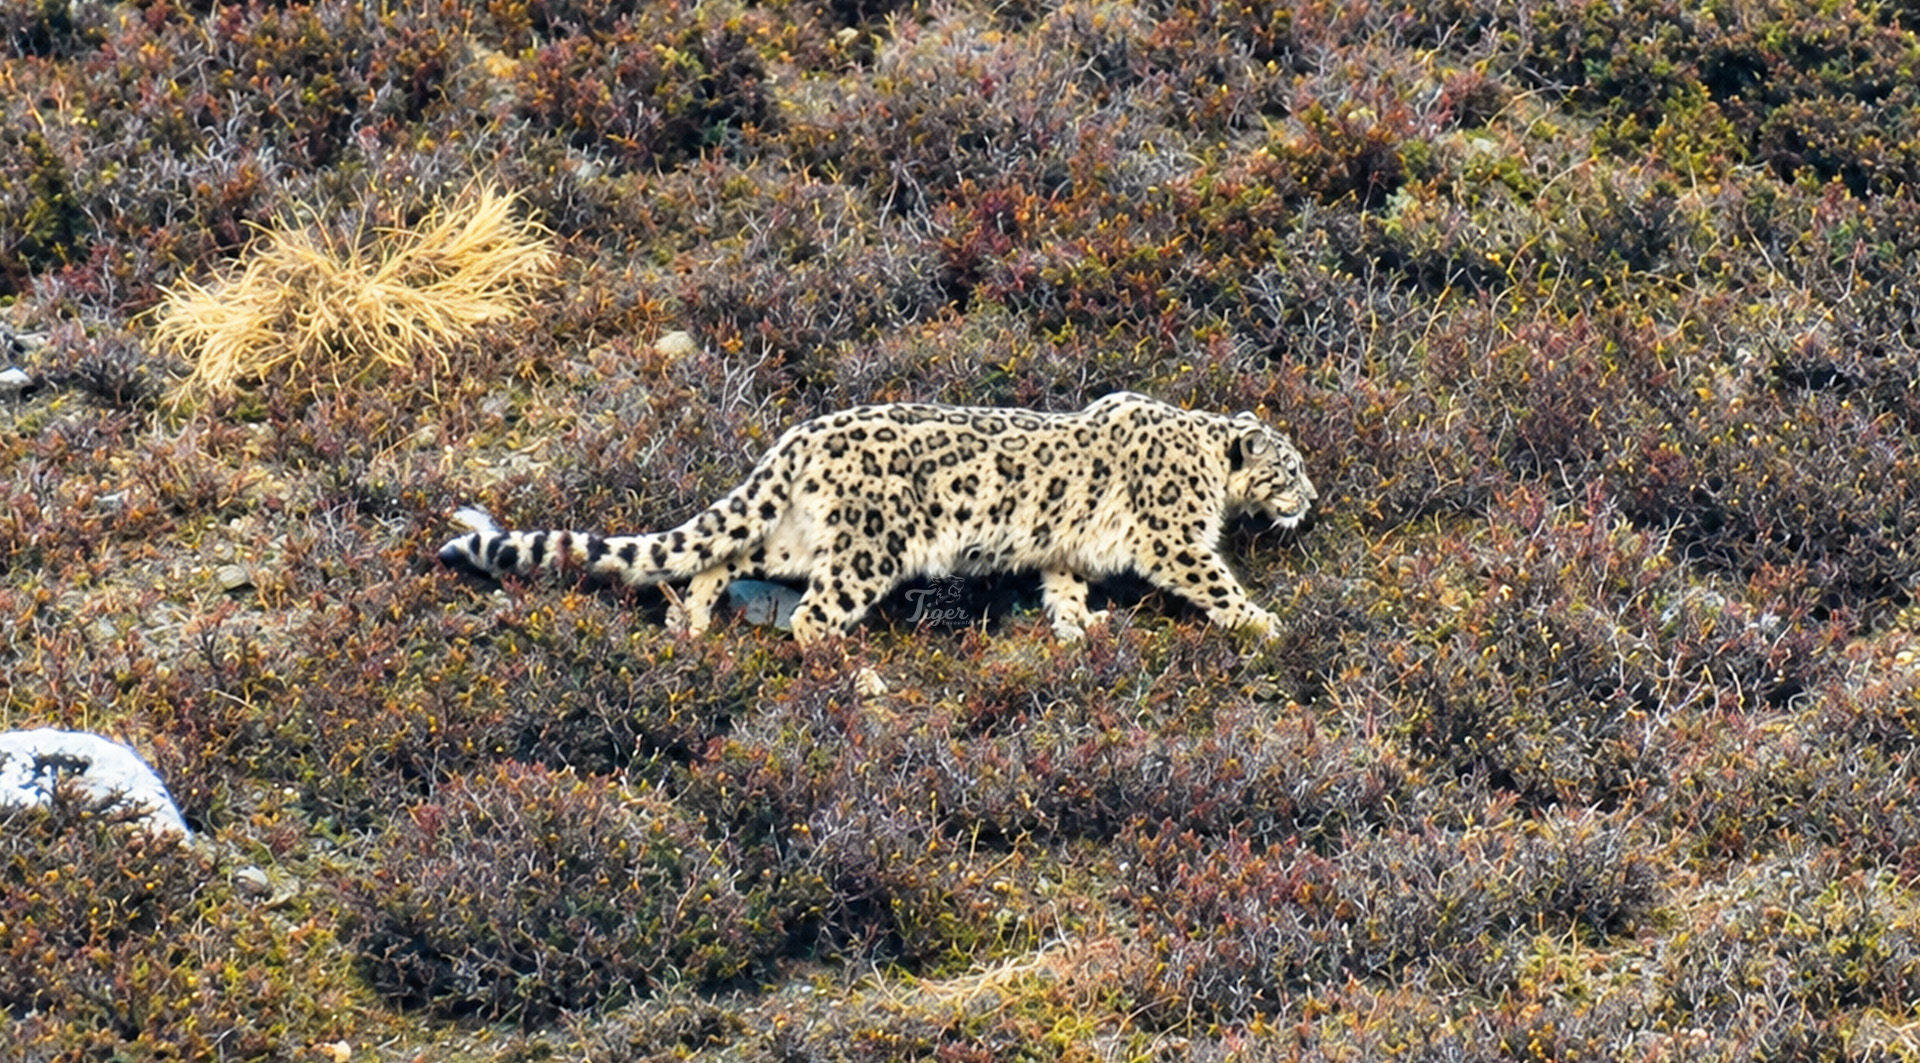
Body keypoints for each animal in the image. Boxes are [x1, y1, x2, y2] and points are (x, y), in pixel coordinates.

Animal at [438, 392, 1316, 644]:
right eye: (1291, 467)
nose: (1310, 501)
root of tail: (799, 436)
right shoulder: (1175, 537)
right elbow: (1213, 577)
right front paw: (1262, 622)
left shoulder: (1062, 549)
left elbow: (1062, 584)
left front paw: (1081, 627)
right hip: (868, 552)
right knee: (812, 619)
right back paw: (855, 676)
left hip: (798, 537)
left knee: (721, 554)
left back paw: (691, 619)